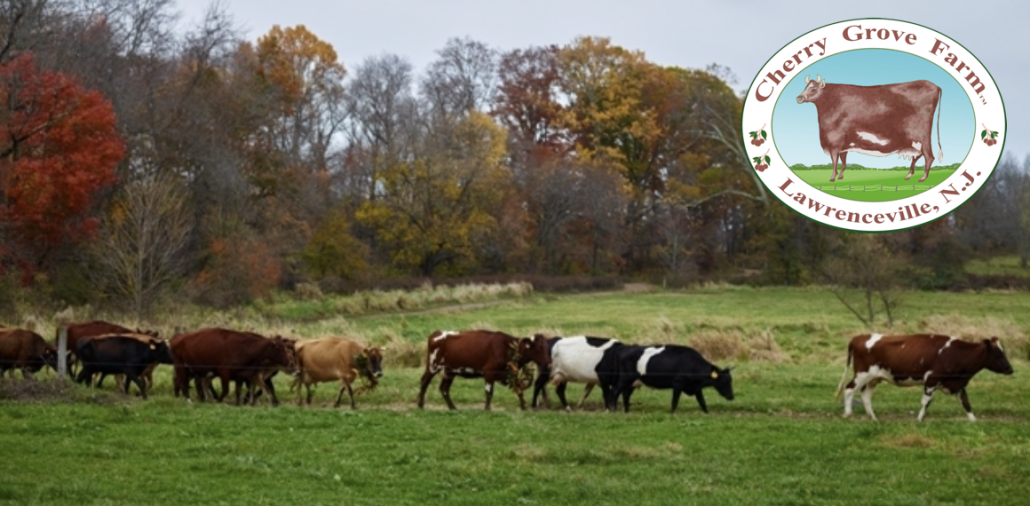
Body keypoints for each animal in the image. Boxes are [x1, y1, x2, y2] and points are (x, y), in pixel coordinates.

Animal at [170, 328, 298, 406]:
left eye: (289, 350)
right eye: (280, 348)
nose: (290, 362)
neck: (245, 348)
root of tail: (178, 337)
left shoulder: (241, 376)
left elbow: (239, 391)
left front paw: (239, 403)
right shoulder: (224, 373)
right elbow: (226, 390)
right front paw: (220, 401)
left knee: (199, 383)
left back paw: (204, 398)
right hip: (181, 366)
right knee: (183, 383)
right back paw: (189, 400)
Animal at [417, 330, 550, 410]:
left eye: (546, 347)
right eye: (538, 348)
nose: (548, 363)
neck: (507, 348)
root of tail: (436, 333)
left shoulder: (509, 374)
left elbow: (519, 390)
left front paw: (524, 406)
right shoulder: (489, 372)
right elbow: (489, 392)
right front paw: (487, 409)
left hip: (449, 372)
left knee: (444, 389)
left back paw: (453, 408)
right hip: (433, 366)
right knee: (424, 382)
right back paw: (420, 405)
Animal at [603, 344, 734, 413]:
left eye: (730, 380)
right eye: (724, 381)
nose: (731, 396)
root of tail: (626, 347)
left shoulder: (696, 387)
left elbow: (702, 401)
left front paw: (707, 413)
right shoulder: (678, 383)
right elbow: (674, 401)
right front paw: (672, 413)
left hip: (632, 382)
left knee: (625, 394)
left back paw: (626, 411)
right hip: (625, 378)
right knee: (614, 392)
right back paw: (613, 410)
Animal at [796, 75, 943, 183]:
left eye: (813, 89)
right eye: (805, 87)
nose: (799, 98)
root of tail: (935, 86)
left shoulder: (834, 143)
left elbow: (835, 161)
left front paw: (832, 178)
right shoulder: (844, 144)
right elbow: (843, 161)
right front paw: (841, 176)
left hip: (922, 137)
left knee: (929, 156)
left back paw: (922, 178)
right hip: (913, 141)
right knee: (918, 156)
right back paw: (908, 175)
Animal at [835, 333, 1013, 422]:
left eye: (1004, 352)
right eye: (998, 354)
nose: (1010, 369)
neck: (955, 353)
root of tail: (859, 337)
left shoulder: (958, 384)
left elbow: (966, 403)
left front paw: (973, 421)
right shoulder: (931, 380)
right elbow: (926, 401)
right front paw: (920, 419)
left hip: (874, 378)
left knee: (865, 394)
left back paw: (873, 418)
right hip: (862, 374)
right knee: (849, 389)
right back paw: (848, 414)